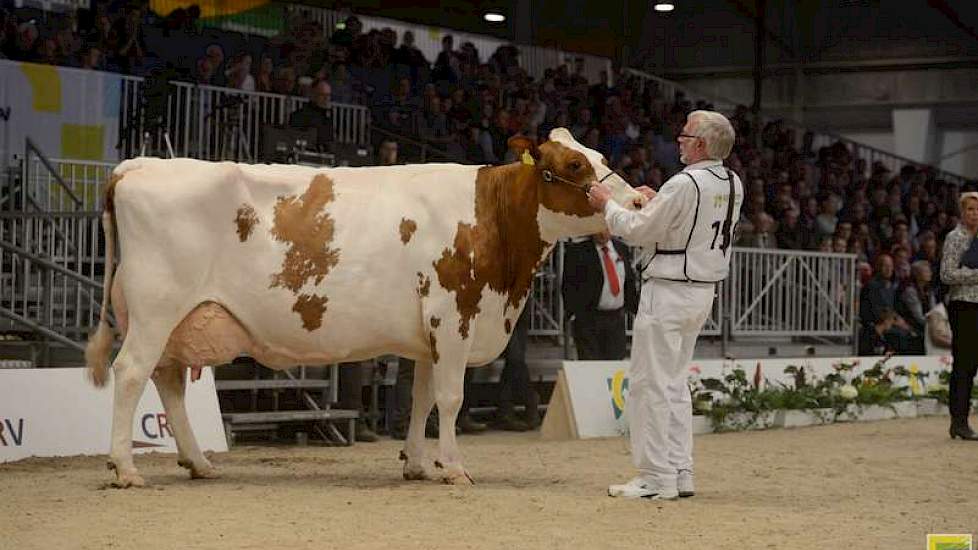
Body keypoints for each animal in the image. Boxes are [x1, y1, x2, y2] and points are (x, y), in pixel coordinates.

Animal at [87, 128, 644, 488]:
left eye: (597, 153)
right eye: (575, 165)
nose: (639, 201)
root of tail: (140, 164)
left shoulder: (429, 333)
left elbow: (421, 398)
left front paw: (416, 463)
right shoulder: (454, 317)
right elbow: (451, 399)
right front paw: (454, 467)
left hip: (176, 319)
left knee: (168, 382)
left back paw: (198, 463)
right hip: (156, 308)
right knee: (131, 372)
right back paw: (125, 469)